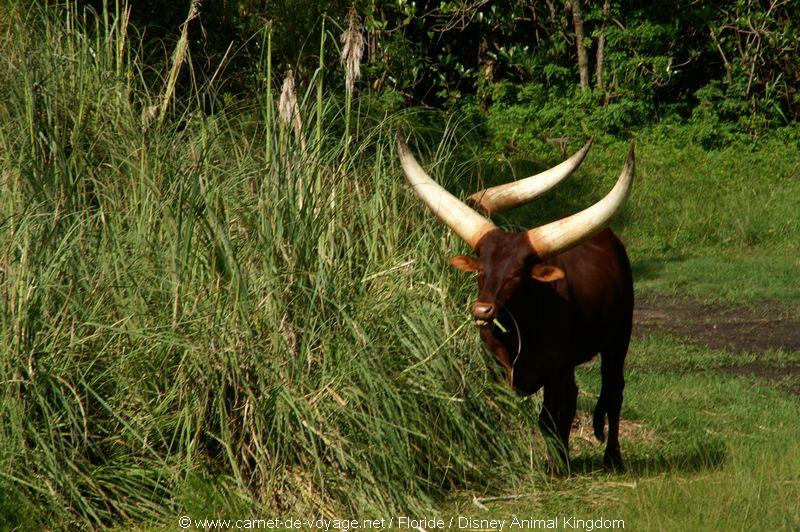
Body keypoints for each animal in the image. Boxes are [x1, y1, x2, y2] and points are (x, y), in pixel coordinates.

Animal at [396, 129, 636, 470]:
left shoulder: (554, 369)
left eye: (516, 274)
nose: (482, 310)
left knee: (613, 391)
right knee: (576, 396)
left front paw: (555, 469)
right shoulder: (497, 366)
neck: (521, 326)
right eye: (481, 269)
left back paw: (612, 457)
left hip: (618, 339)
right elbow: (504, 410)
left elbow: (549, 418)